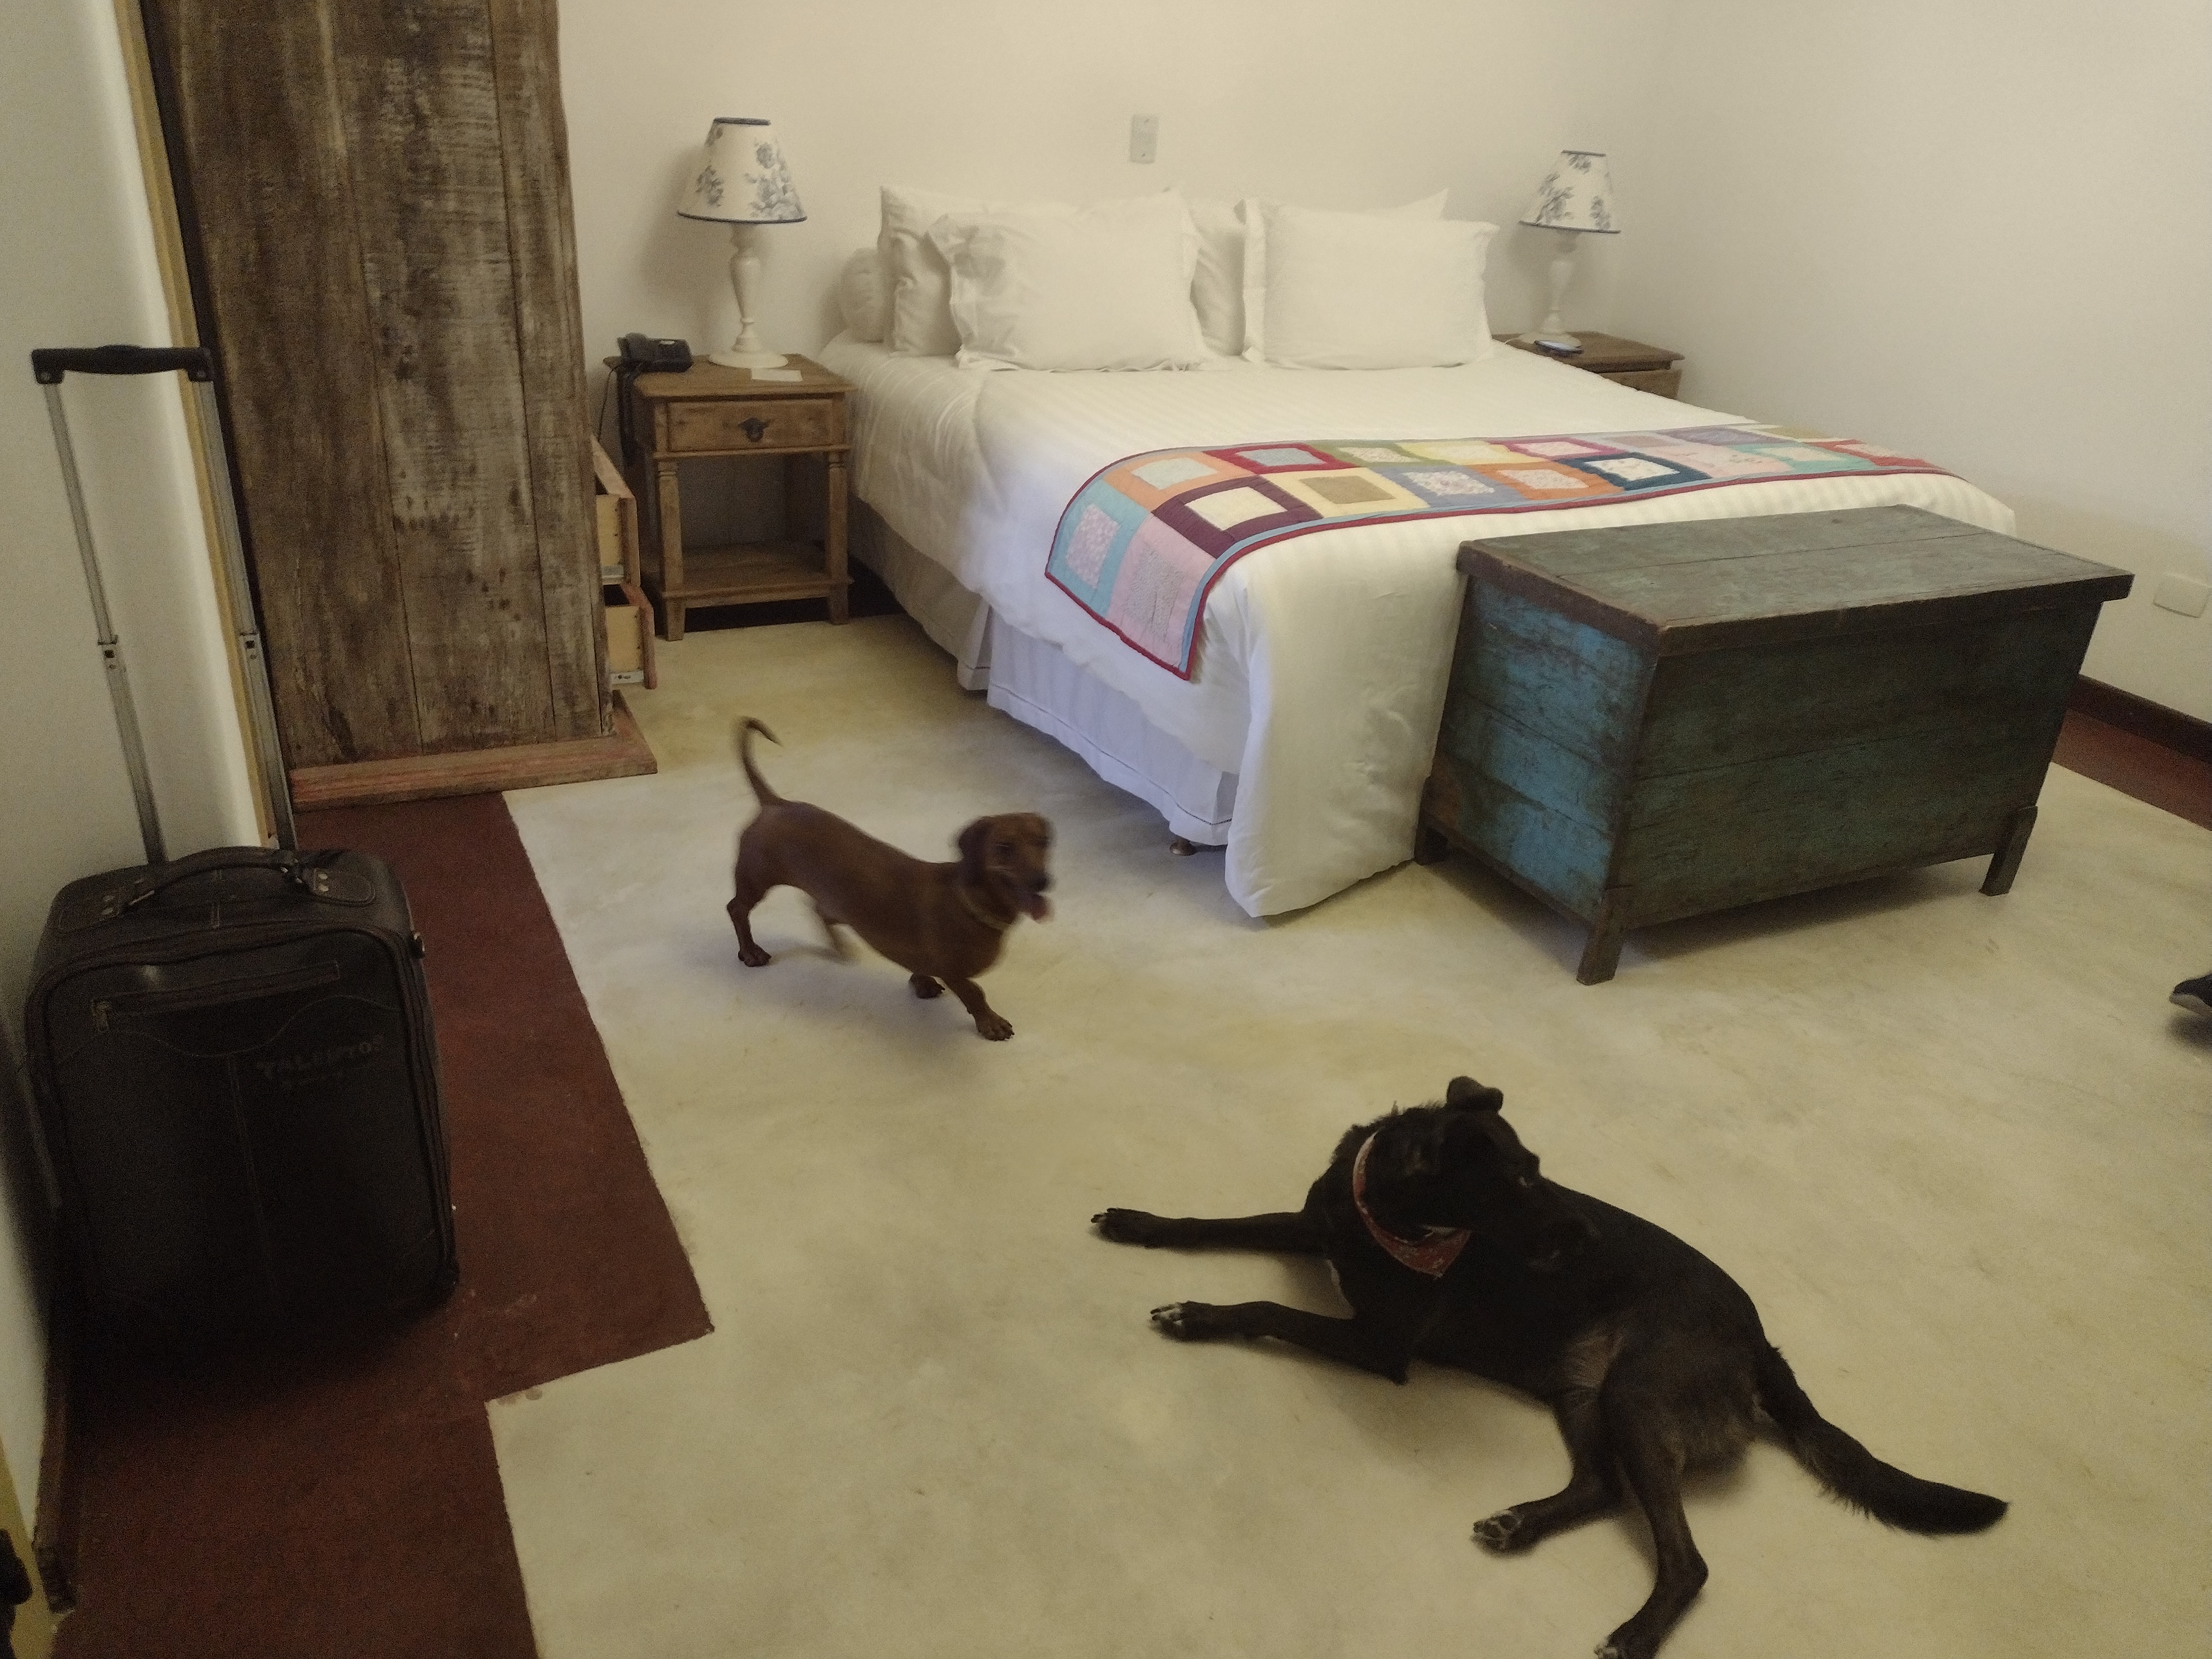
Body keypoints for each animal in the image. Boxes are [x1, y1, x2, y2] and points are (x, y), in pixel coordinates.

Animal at [726, 718, 1052, 1040]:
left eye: (1044, 842)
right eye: (1004, 848)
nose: (1043, 881)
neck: (968, 903)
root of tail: (776, 804)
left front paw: (922, 983)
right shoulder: (954, 971)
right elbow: (975, 992)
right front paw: (990, 1022)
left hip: (835, 900)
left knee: (818, 910)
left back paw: (839, 947)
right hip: (756, 880)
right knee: (737, 909)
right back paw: (750, 952)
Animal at [1094, 1076, 2005, 1659]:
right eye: (1519, 1183)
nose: (1591, 1237)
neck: (1388, 1219)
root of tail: (1760, 1343)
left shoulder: (1380, 1345)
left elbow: (1267, 1308)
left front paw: (1196, 1316)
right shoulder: (1314, 1225)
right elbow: (1211, 1225)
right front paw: (1140, 1223)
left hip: (1636, 1394)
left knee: (1688, 1560)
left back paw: (1633, 1636)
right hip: (1582, 1394)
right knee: (1601, 1489)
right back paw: (1521, 1523)